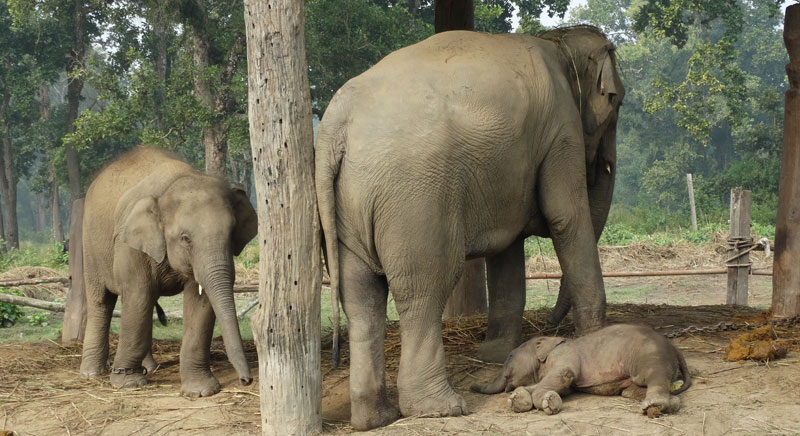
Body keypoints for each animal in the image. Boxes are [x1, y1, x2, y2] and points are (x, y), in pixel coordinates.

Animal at [78, 146, 256, 396]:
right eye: (185, 238)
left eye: (231, 234)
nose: (246, 380)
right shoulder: (129, 246)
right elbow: (138, 295)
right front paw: (128, 384)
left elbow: (200, 302)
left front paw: (201, 391)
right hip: (90, 245)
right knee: (102, 301)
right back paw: (92, 373)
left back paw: (150, 367)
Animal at [314, 24, 624, 430]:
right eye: (617, 103)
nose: (550, 324)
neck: (557, 42)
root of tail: (335, 123)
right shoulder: (562, 128)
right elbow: (567, 216)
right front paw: (594, 339)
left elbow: (508, 247)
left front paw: (495, 353)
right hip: (415, 200)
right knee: (424, 290)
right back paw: (440, 408)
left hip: (346, 205)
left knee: (361, 298)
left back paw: (375, 418)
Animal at [472, 324, 692, 416]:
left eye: (509, 356)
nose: (471, 388)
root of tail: (675, 348)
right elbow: (561, 386)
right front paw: (519, 399)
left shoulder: (564, 355)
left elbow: (564, 375)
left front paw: (547, 402)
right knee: (632, 390)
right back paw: (668, 404)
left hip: (651, 354)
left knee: (653, 376)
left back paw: (655, 405)